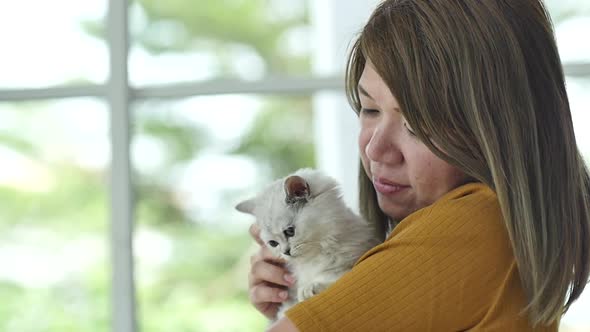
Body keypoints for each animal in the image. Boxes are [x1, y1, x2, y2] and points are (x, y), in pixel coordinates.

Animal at [236, 169, 384, 320]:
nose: (285, 252)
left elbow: (335, 275)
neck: (317, 252)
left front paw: (309, 289)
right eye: (273, 243)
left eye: (290, 231)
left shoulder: (353, 260)